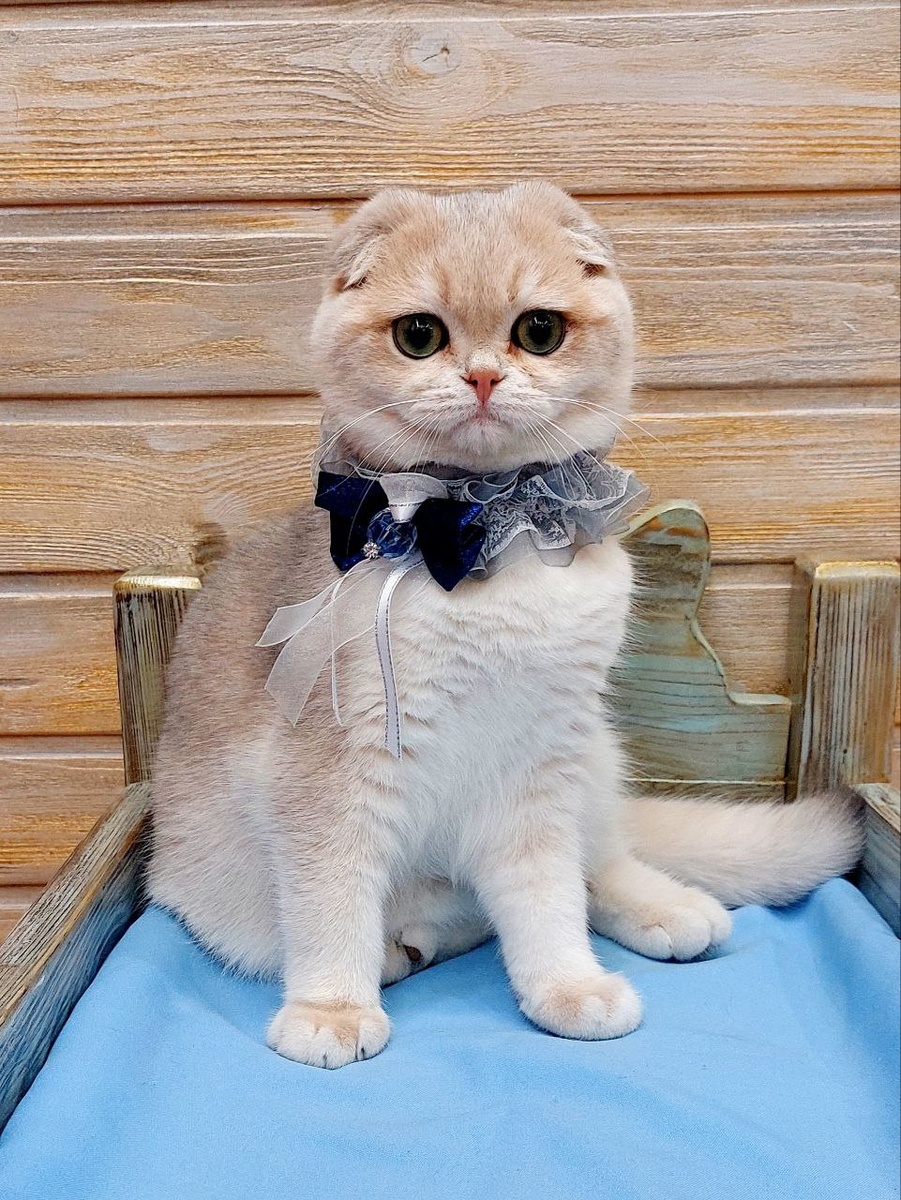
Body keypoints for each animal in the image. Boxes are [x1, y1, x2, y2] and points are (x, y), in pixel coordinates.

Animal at [148, 183, 863, 1070]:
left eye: (538, 330)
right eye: (419, 336)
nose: (484, 375)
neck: (492, 530)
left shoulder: (535, 778)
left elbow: (546, 898)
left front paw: (567, 986)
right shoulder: (330, 780)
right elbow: (332, 901)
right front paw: (332, 1007)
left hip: (589, 756)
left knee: (603, 859)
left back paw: (664, 909)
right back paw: (401, 948)